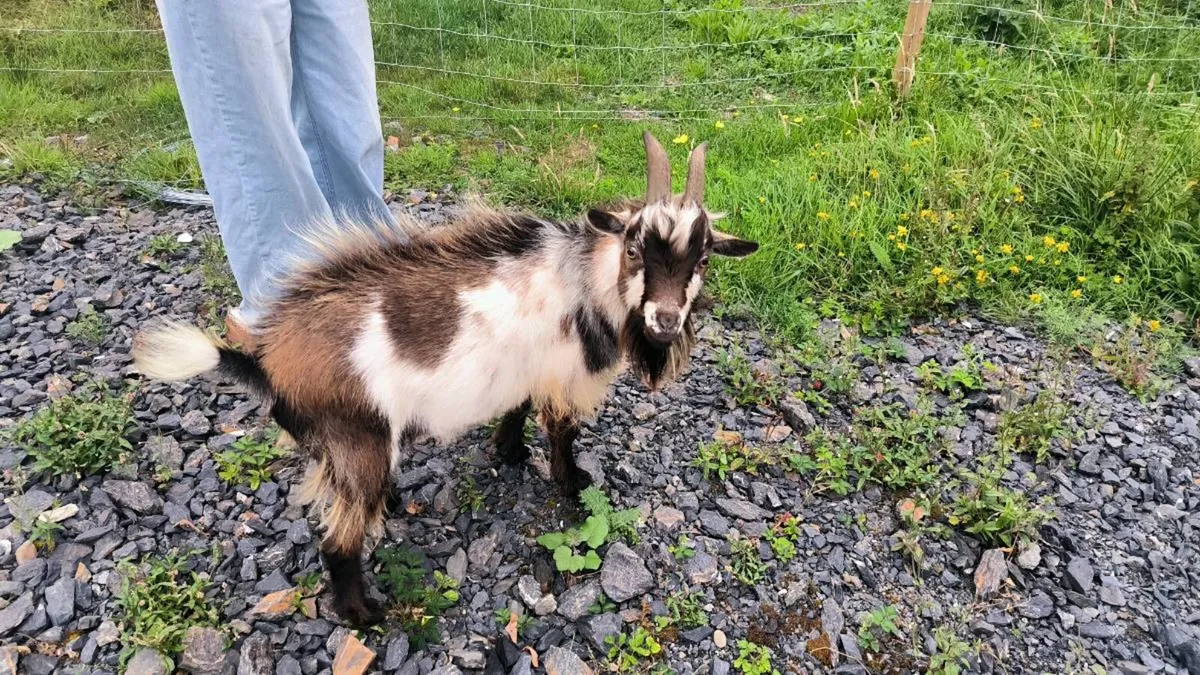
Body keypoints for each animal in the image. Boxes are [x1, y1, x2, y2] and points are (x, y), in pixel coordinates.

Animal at [132, 132, 758, 625]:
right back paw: (364, 615)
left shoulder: (526, 372)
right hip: (358, 437)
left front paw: (508, 453)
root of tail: (269, 360)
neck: (585, 279)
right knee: (337, 541)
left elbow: (516, 409)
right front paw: (572, 485)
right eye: (633, 247)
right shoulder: (562, 376)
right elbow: (562, 435)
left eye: (704, 259)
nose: (665, 320)